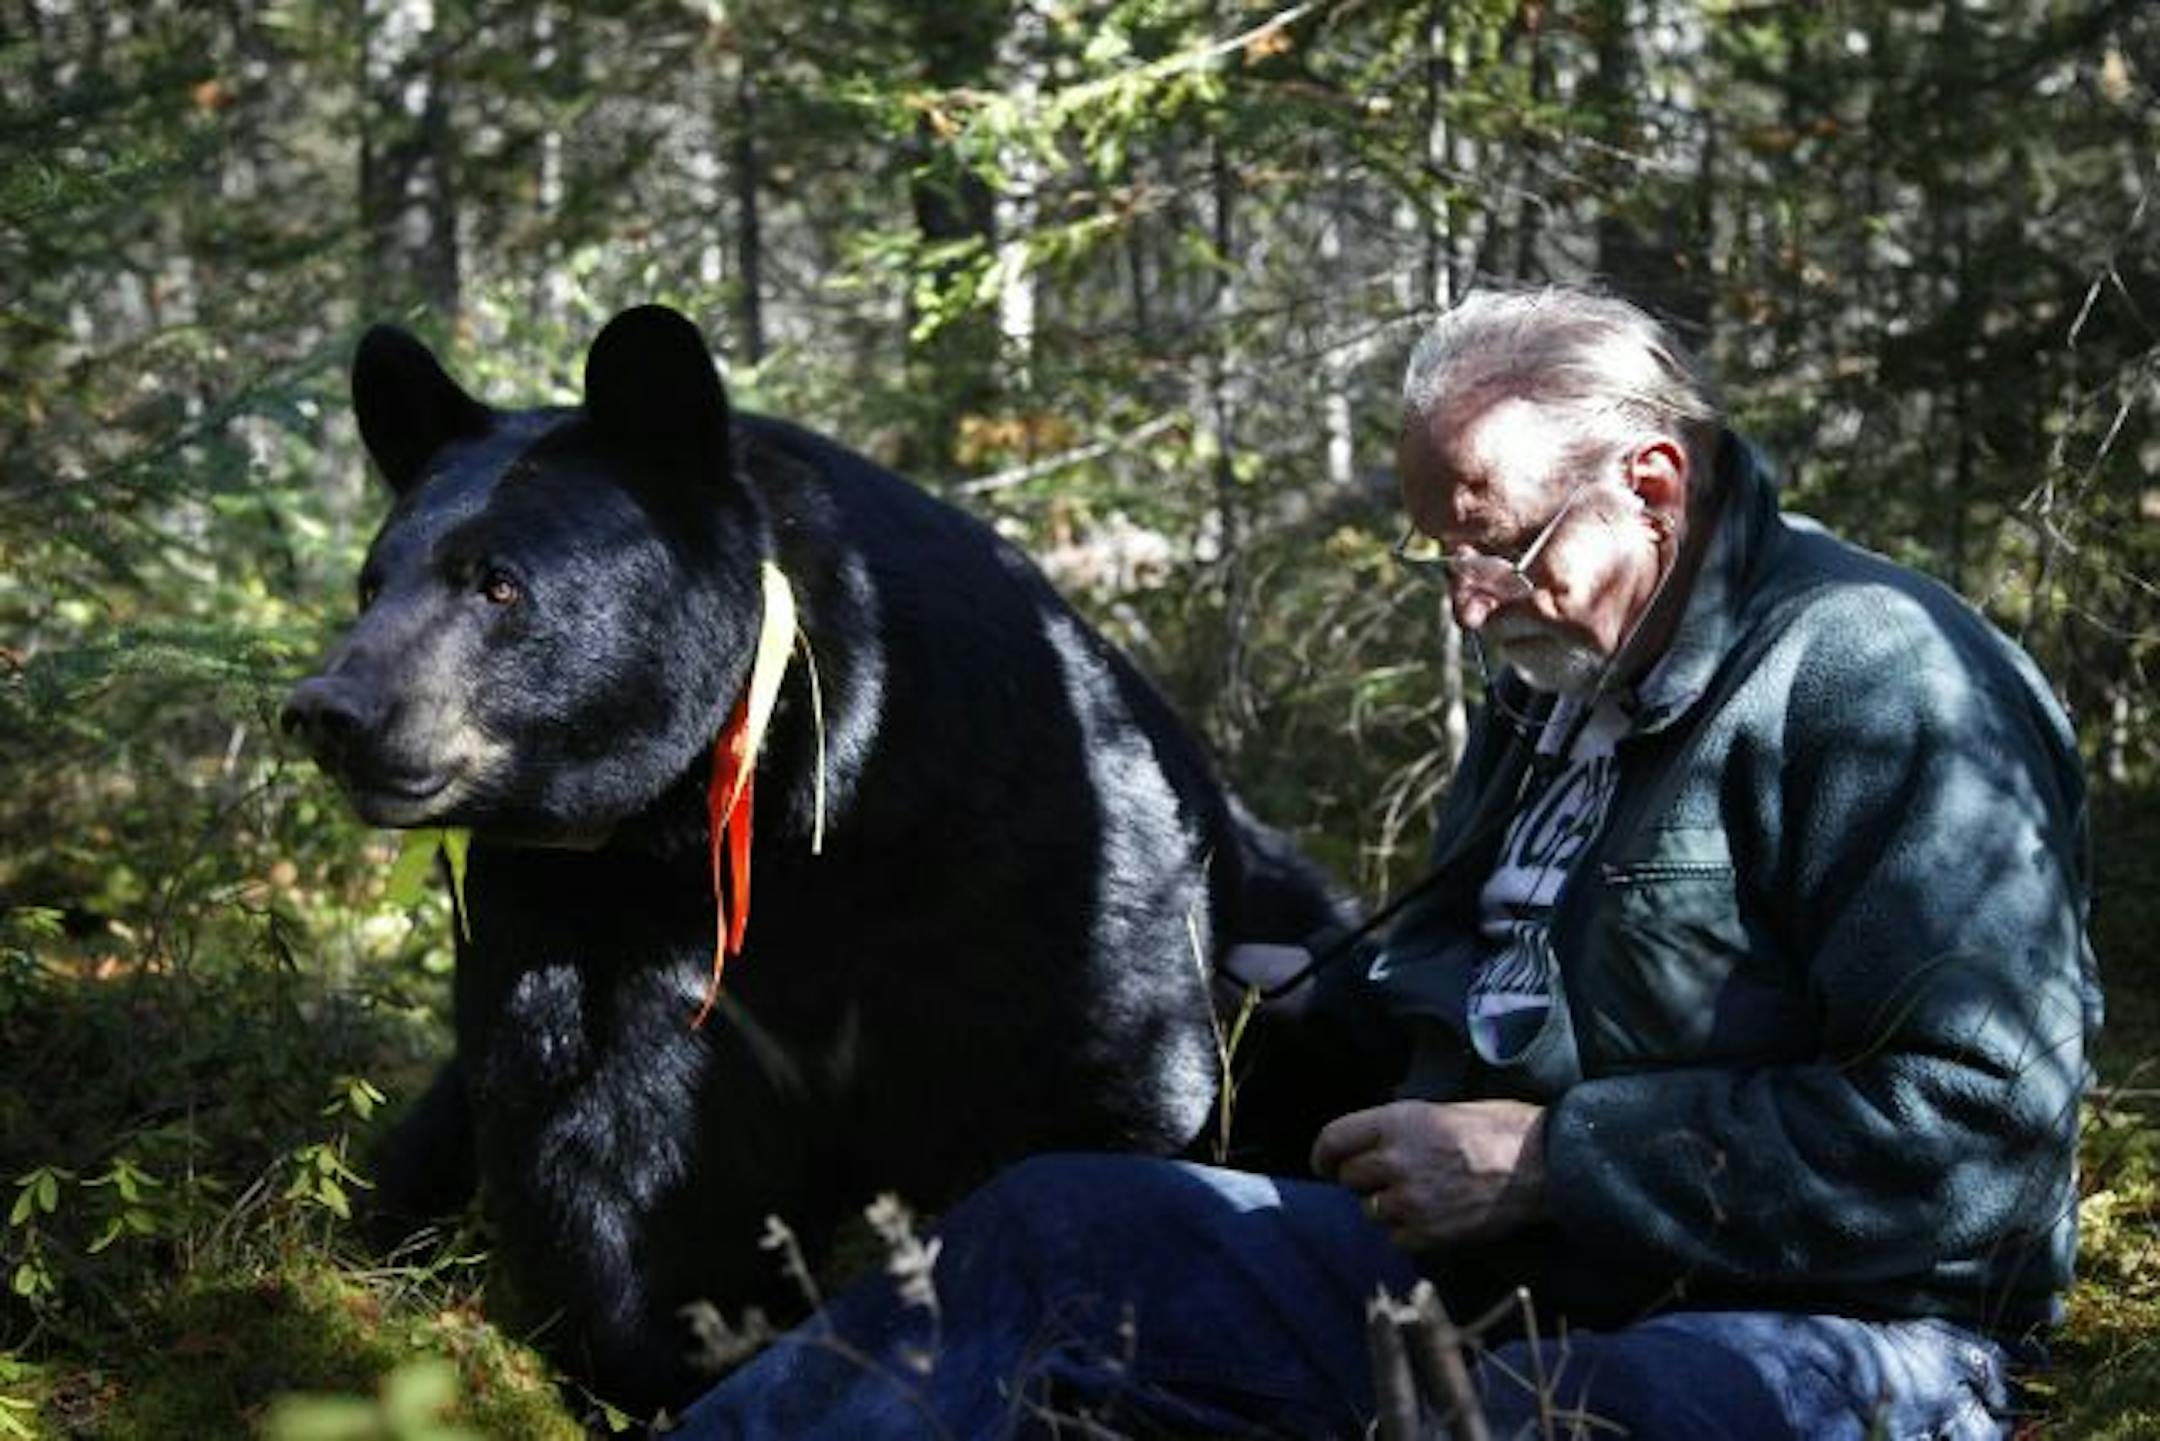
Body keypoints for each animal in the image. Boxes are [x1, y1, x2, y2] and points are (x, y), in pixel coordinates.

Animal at [282, 305, 1368, 1418]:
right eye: (373, 582)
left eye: (499, 583)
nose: (330, 710)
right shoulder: (583, 914)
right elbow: (612, 1153)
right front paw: (665, 1364)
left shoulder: (1017, 836)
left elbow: (1097, 1074)